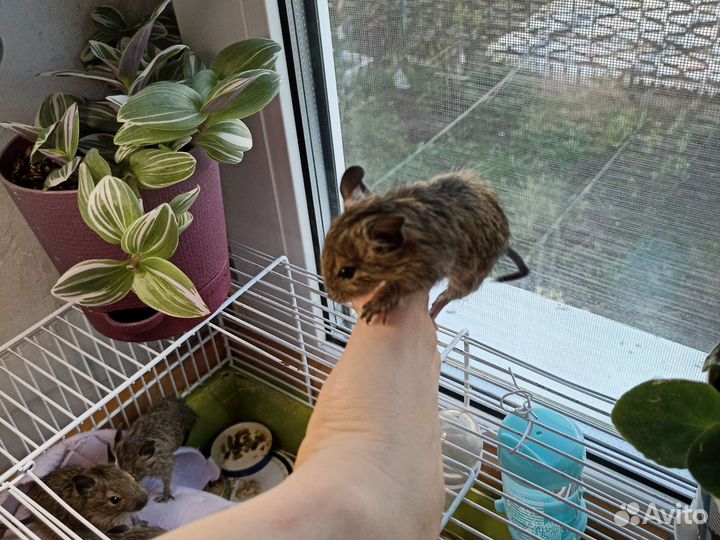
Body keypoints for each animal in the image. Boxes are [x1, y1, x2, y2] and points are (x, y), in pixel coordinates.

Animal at [322, 166, 529, 323]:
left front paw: (378, 303)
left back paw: (434, 311)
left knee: (449, 295)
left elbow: (400, 287)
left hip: (469, 274)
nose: (331, 296)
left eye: (346, 272)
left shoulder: (427, 270)